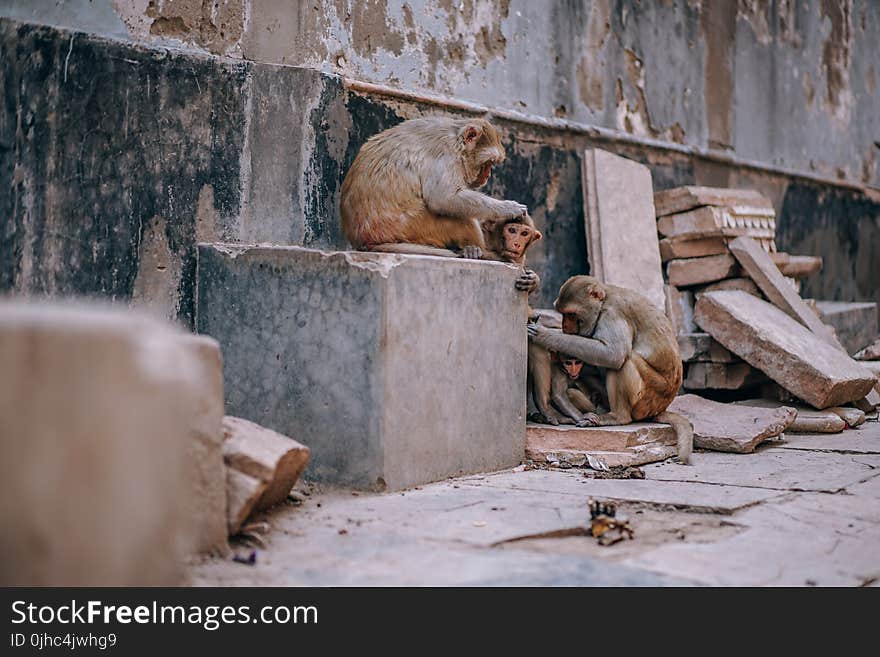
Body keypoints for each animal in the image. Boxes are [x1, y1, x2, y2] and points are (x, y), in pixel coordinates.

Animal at [528, 274, 696, 464]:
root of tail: (662, 407)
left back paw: (617, 417)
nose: (565, 327)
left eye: (571, 314)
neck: (604, 300)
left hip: (651, 396)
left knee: (625, 361)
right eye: (562, 314)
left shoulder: (612, 314)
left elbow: (613, 354)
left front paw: (545, 335)